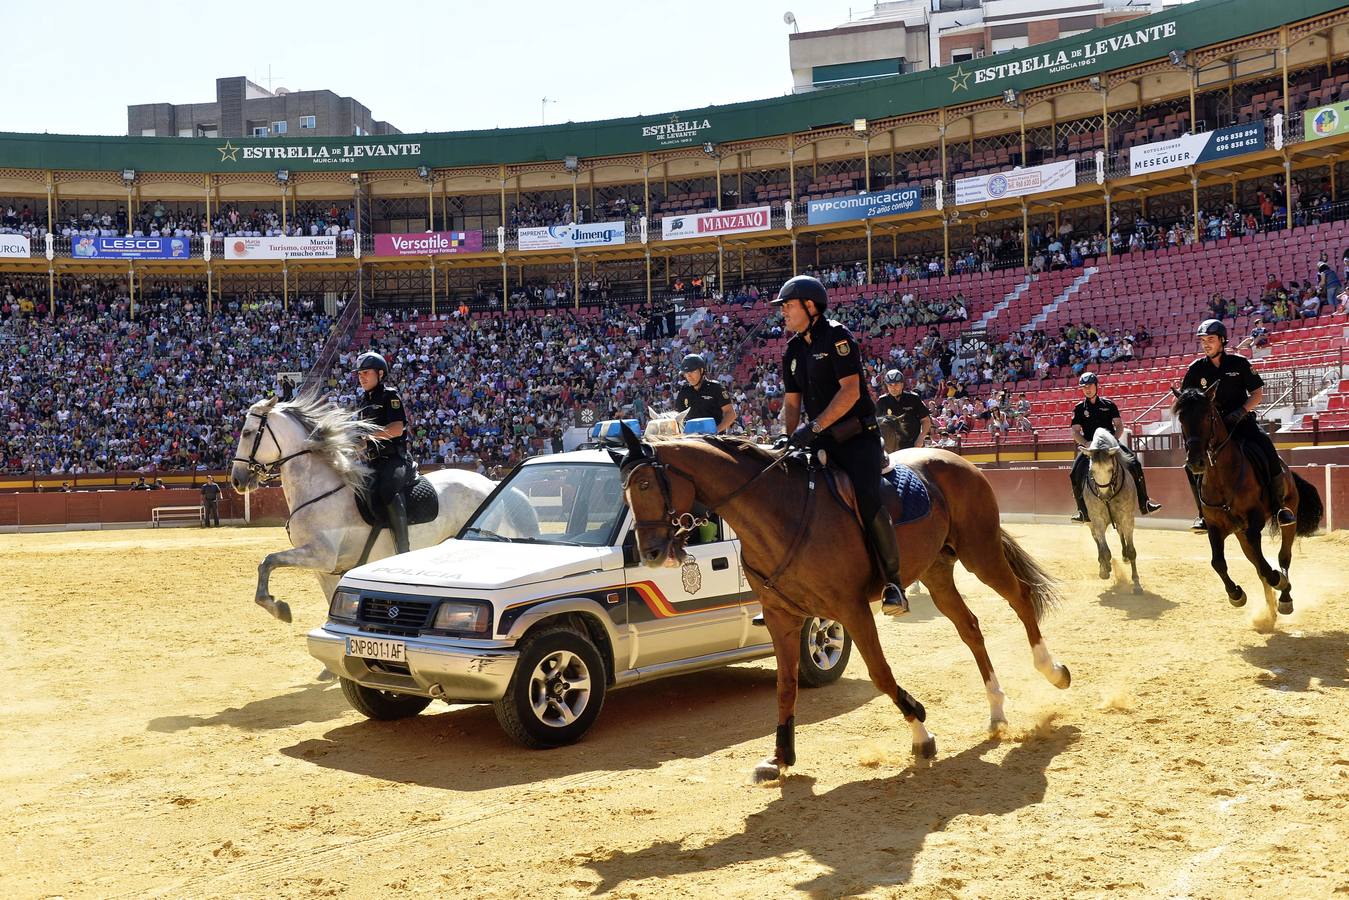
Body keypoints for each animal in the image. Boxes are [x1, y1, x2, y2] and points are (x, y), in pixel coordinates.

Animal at [229, 396, 504, 623]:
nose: (237, 480)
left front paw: (278, 608)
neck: (318, 490)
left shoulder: (320, 554)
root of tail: (488, 483)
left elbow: (267, 561)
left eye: (247, 432)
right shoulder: (326, 568)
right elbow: (329, 600)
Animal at [617, 426, 1068, 782]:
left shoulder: (851, 609)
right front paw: (780, 756)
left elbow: (881, 674)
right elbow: (785, 686)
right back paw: (996, 710)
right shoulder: (782, 617)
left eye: (644, 485)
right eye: (626, 489)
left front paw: (921, 732)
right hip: (937, 571)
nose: (650, 552)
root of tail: (956, 459)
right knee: (970, 627)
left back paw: (1052, 670)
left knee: (1020, 598)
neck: (777, 513)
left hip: (980, 552)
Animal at [1073, 431, 1138, 593]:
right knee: (1097, 540)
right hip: (1090, 522)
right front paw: (1104, 568)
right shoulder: (1097, 520)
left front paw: (1137, 583)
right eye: (1092, 471)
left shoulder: (1127, 518)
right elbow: (1105, 549)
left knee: (1121, 534)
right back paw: (1104, 565)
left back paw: (1123, 556)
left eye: (1110, 469)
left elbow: (1132, 550)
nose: (1102, 495)